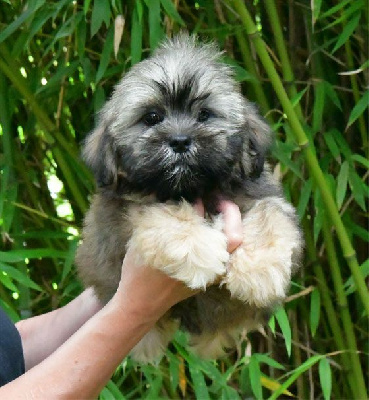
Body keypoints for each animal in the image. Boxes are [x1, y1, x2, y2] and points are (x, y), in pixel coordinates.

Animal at [75, 35, 302, 362]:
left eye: (204, 115)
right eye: (152, 118)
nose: (180, 141)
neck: (191, 188)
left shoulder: (262, 194)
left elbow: (269, 215)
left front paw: (260, 272)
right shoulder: (123, 214)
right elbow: (161, 215)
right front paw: (198, 250)